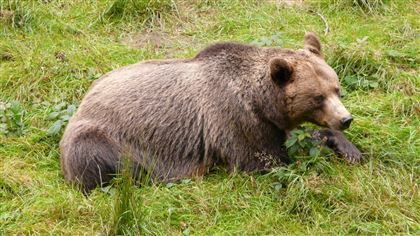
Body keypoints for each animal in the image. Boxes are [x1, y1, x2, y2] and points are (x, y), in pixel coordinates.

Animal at [59, 32, 360, 193]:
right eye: (317, 97)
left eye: (336, 89)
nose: (345, 119)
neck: (261, 101)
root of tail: (83, 100)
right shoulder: (235, 119)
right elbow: (265, 160)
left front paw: (350, 149)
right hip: (102, 137)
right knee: (111, 163)